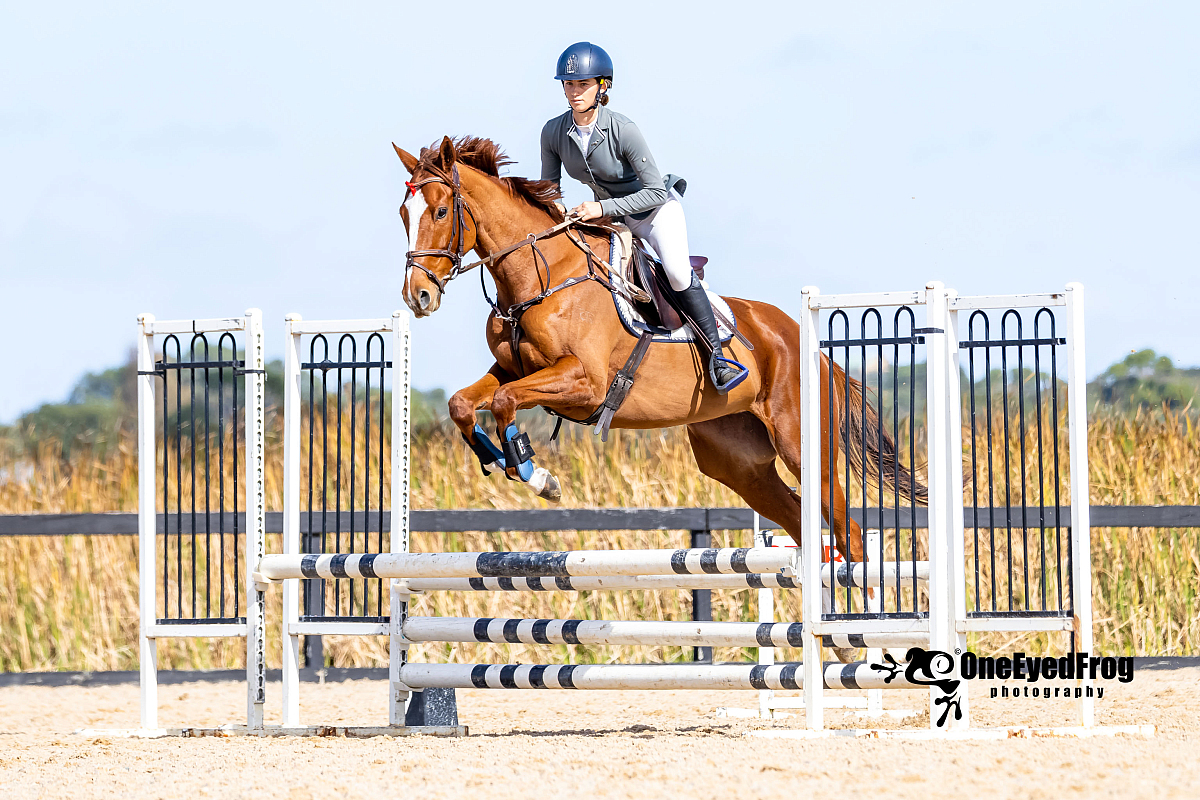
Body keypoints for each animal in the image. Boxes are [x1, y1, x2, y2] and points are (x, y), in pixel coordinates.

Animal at [391, 136, 916, 563]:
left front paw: (535, 475)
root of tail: (811, 348)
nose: (418, 296)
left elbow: (503, 402)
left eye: (441, 212)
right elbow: (465, 403)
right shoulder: (511, 369)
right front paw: (500, 459)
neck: (542, 277)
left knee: (848, 531)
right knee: (801, 521)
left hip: (802, 447)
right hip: (738, 464)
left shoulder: (583, 383)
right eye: (403, 215)